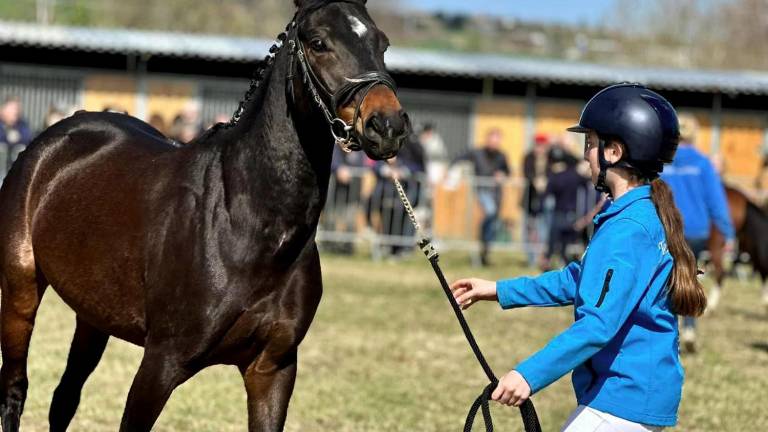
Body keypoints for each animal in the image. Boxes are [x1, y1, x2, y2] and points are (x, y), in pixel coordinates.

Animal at [0, 1, 412, 430]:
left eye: (382, 43)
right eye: (318, 43)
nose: (387, 126)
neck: (246, 223)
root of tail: (55, 137)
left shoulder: (272, 370)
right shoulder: (161, 363)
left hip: (93, 316)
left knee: (64, 397)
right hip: (19, 290)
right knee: (15, 389)